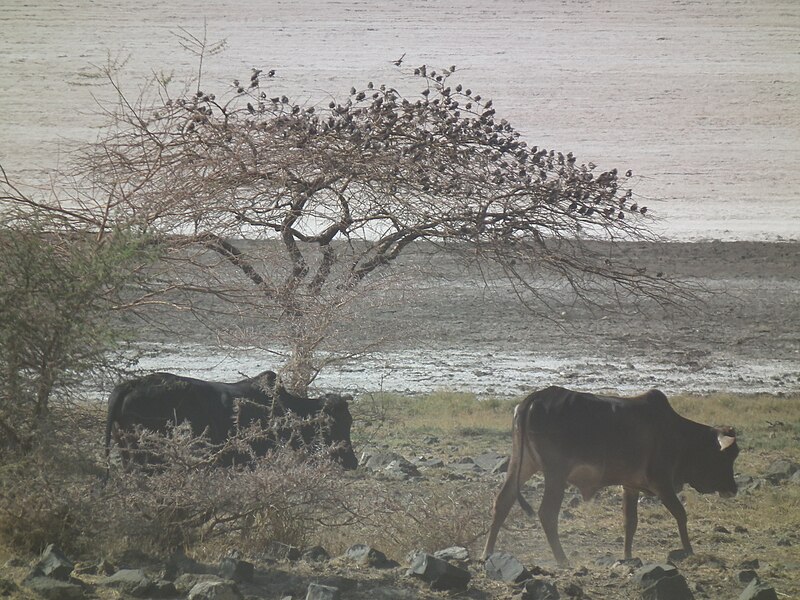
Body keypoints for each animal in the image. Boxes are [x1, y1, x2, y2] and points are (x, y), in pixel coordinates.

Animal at [482, 386, 736, 564]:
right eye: (727, 456)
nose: (733, 489)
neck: (678, 435)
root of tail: (533, 399)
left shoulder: (630, 486)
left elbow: (630, 523)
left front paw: (628, 555)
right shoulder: (661, 483)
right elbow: (680, 514)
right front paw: (690, 551)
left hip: (522, 463)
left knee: (502, 501)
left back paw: (487, 553)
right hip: (555, 473)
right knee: (547, 513)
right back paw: (562, 559)